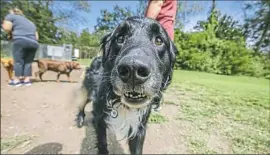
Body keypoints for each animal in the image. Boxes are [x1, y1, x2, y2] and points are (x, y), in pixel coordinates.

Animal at [75, 16, 177, 154]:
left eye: (159, 40)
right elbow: (102, 143)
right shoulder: (101, 119)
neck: (123, 104)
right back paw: (80, 119)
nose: (133, 69)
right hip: (89, 91)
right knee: (82, 103)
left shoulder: (139, 128)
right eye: (120, 38)